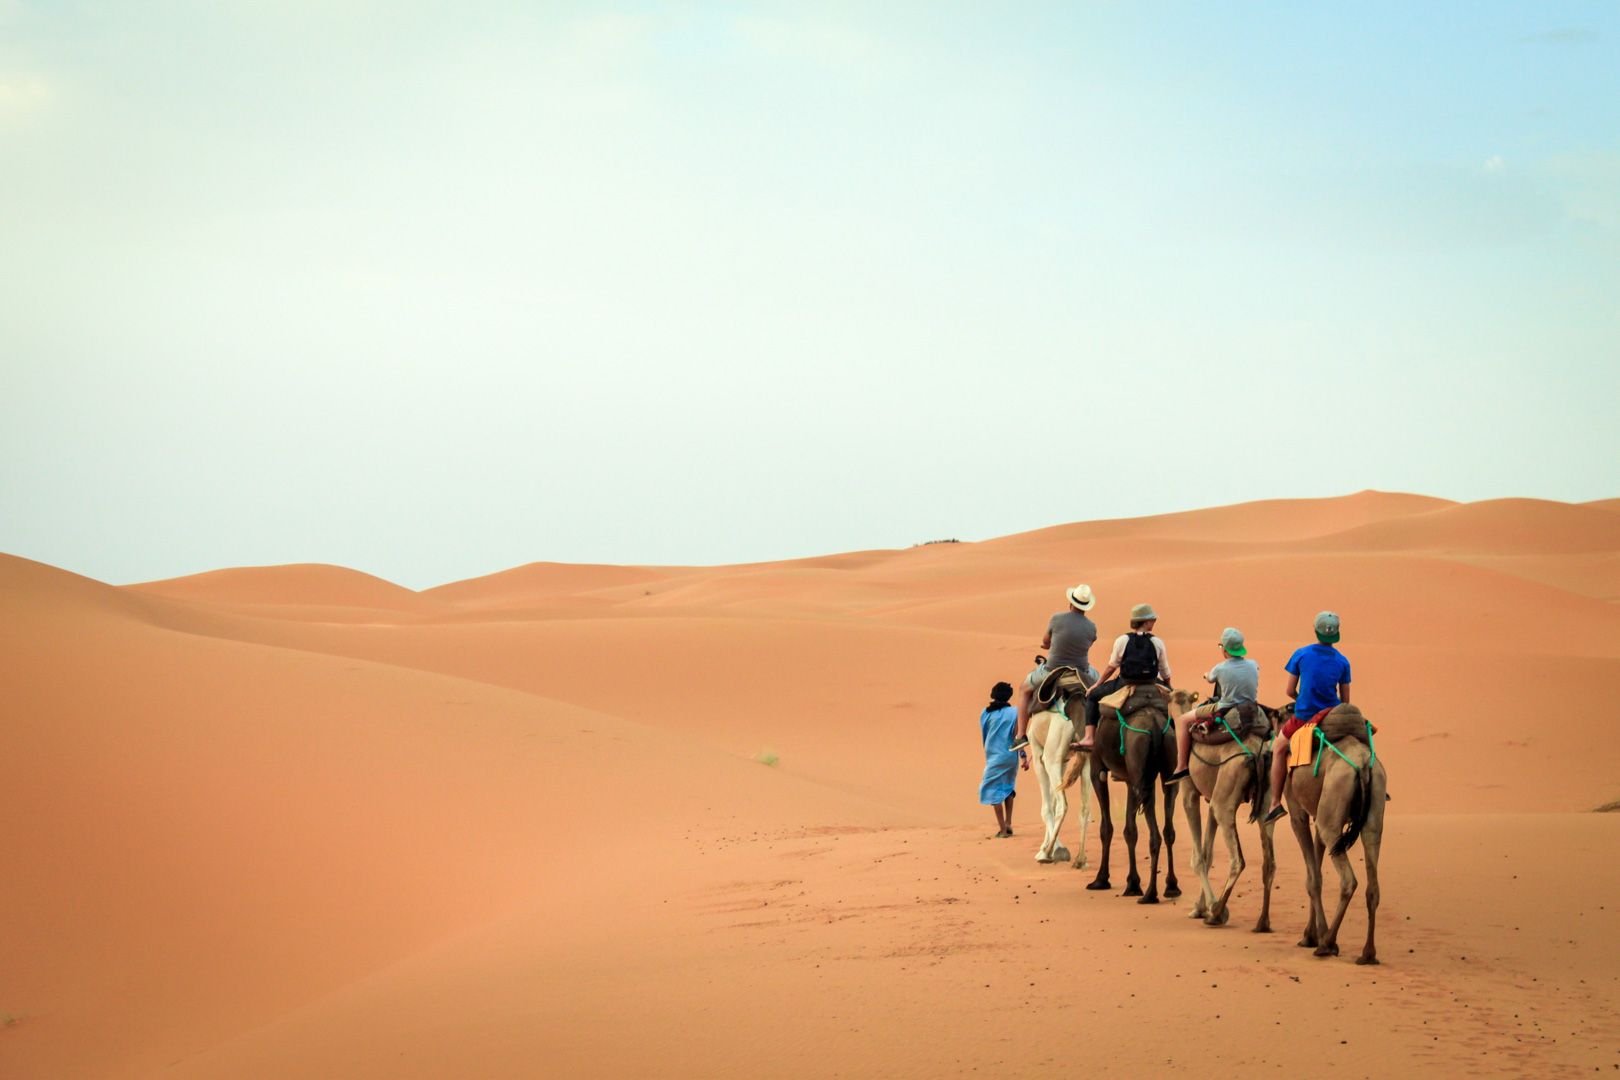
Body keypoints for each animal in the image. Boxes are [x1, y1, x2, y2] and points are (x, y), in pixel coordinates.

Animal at [1088, 683, 1179, 906]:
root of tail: (1154, 725)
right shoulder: (1129, 779)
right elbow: (1130, 831)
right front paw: (1132, 883)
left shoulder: (1096, 769)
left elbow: (1107, 828)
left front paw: (1101, 880)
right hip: (1164, 766)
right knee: (1168, 829)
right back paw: (1171, 886)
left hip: (1139, 766)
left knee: (1155, 834)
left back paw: (1150, 894)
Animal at [1179, 702, 1276, 932]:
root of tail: (1256, 753)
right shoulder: (1210, 796)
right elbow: (1207, 854)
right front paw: (1199, 908)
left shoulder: (1189, 791)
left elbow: (1198, 858)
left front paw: (1207, 907)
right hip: (1265, 799)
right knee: (1269, 862)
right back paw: (1262, 922)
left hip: (1225, 797)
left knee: (1238, 860)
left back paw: (1216, 914)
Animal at [1283, 705, 1386, 965]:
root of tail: (1363, 766)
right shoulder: (1318, 814)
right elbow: (1316, 872)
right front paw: (1309, 935)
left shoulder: (1298, 813)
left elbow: (1313, 878)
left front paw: (1315, 935)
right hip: (1373, 813)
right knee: (1373, 885)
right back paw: (1367, 953)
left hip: (1332, 813)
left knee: (1349, 880)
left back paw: (1328, 944)